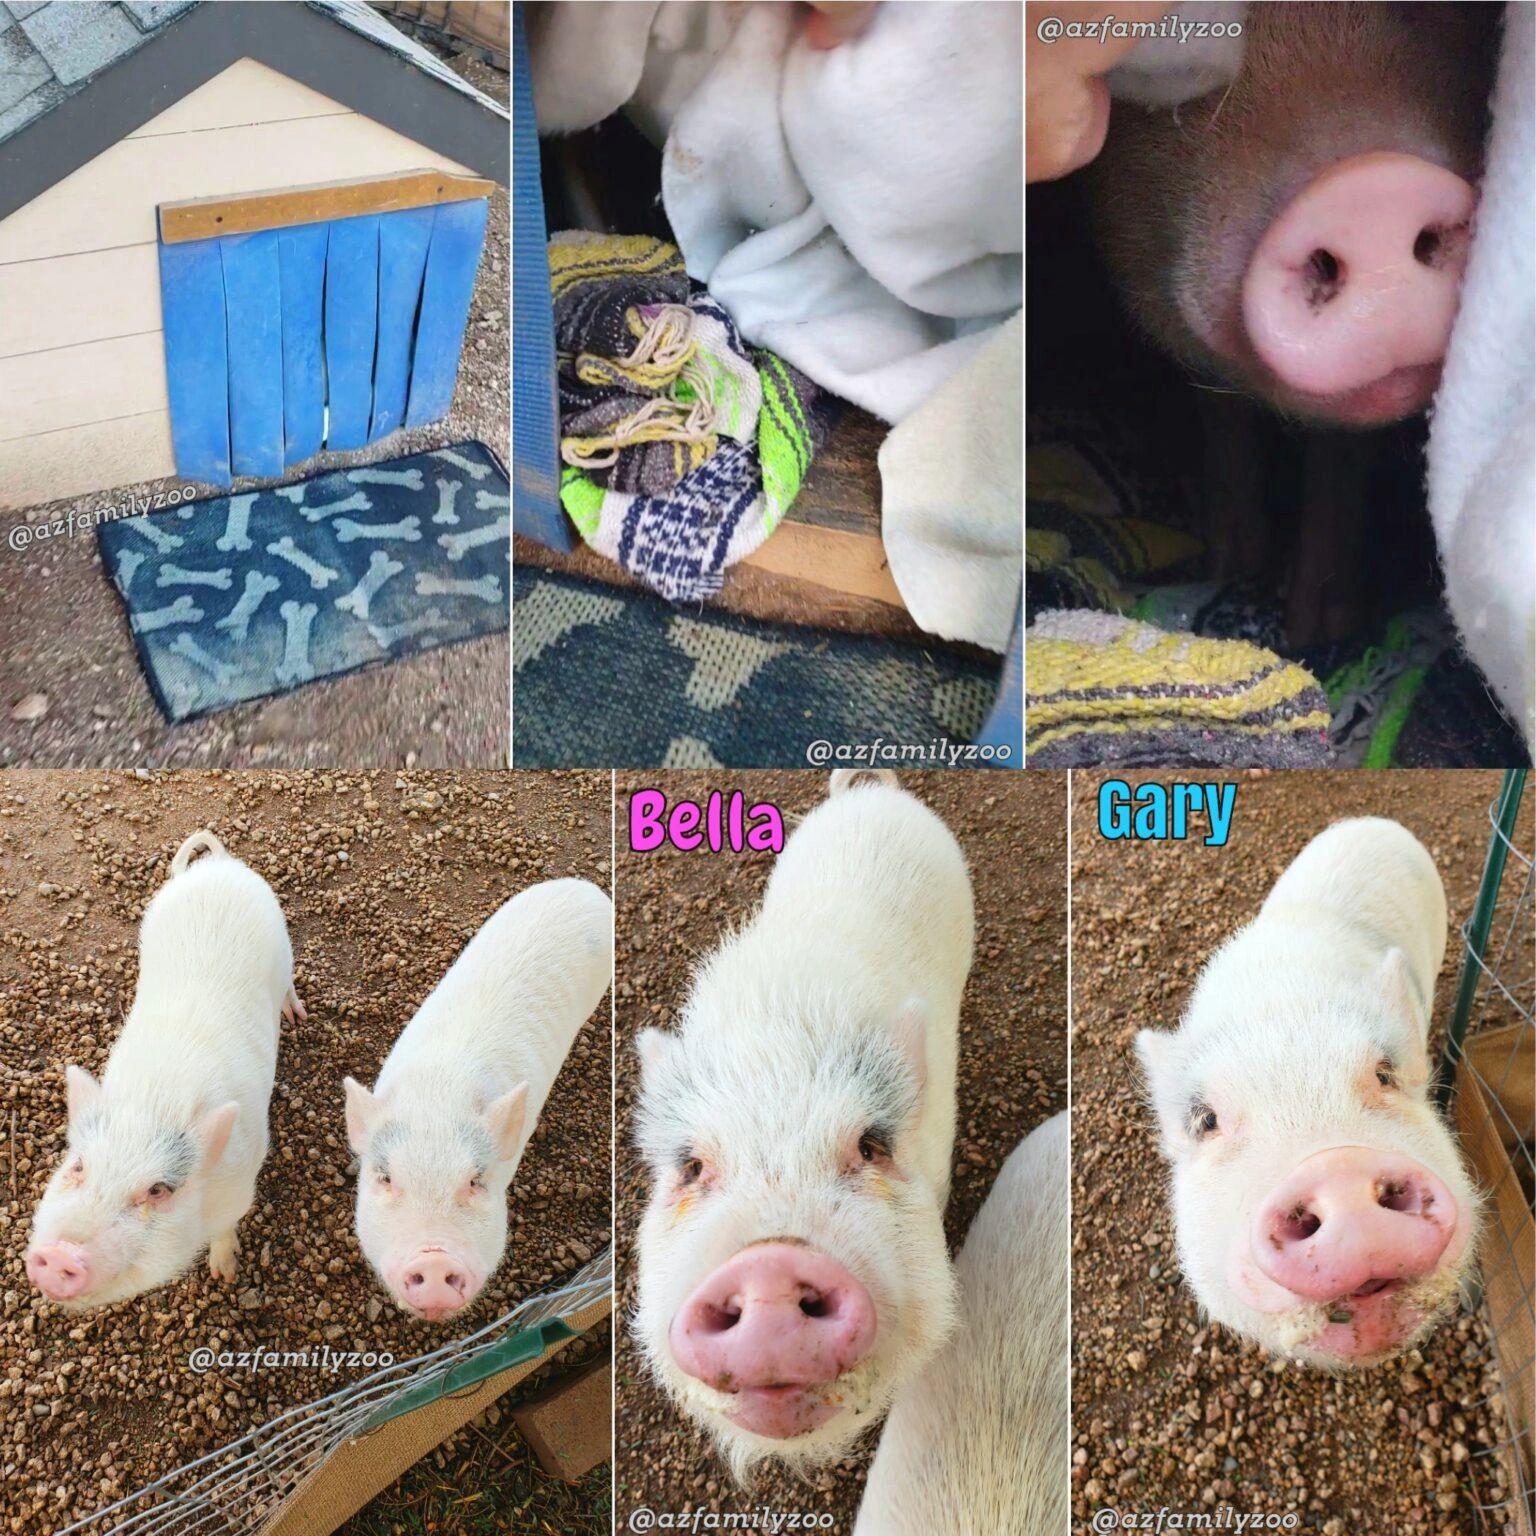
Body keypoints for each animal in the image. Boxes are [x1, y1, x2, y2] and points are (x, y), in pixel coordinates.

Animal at [25, 830, 300, 1308]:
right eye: (78, 1167)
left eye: (158, 1190)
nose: (59, 1255)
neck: (153, 1102)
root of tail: (218, 867)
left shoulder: (240, 1191)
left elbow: (225, 1232)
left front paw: (225, 1276)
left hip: (283, 946)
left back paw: (296, 1016)